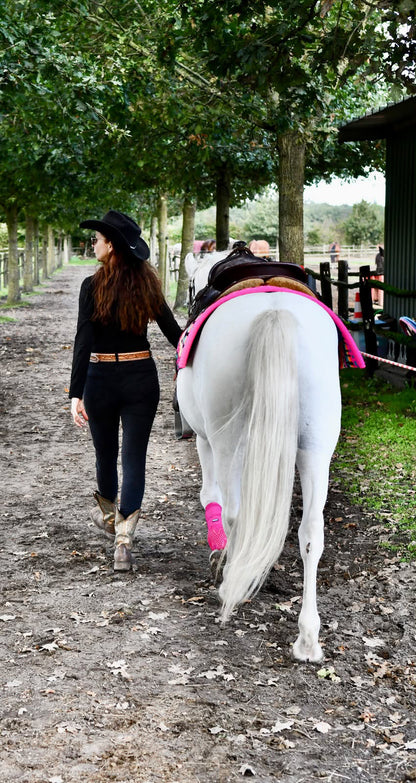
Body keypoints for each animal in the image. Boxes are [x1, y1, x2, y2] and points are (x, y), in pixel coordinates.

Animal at [176, 261, 343, 662]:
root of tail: (274, 312)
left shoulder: (205, 440)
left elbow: (210, 496)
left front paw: (219, 556)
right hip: (317, 446)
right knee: (311, 533)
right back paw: (308, 637)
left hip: (227, 442)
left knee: (236, 513)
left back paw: (229, 581)